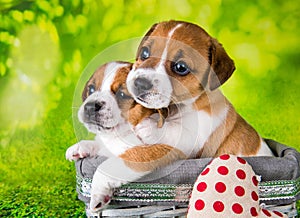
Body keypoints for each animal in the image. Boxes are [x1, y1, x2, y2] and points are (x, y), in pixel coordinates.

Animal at [66, 61, 184, 211]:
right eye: (91, 89)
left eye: (122, 94)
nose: (90, 106)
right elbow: (99, 145)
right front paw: (80, 147)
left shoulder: (161, 150)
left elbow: (106, 166)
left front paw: (97, 194)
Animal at [126, 20, 274, 157]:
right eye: (145, 52)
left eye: (181, 67)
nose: (140, 83)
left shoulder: (196, 136)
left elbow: (176, 132)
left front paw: (149, 127)